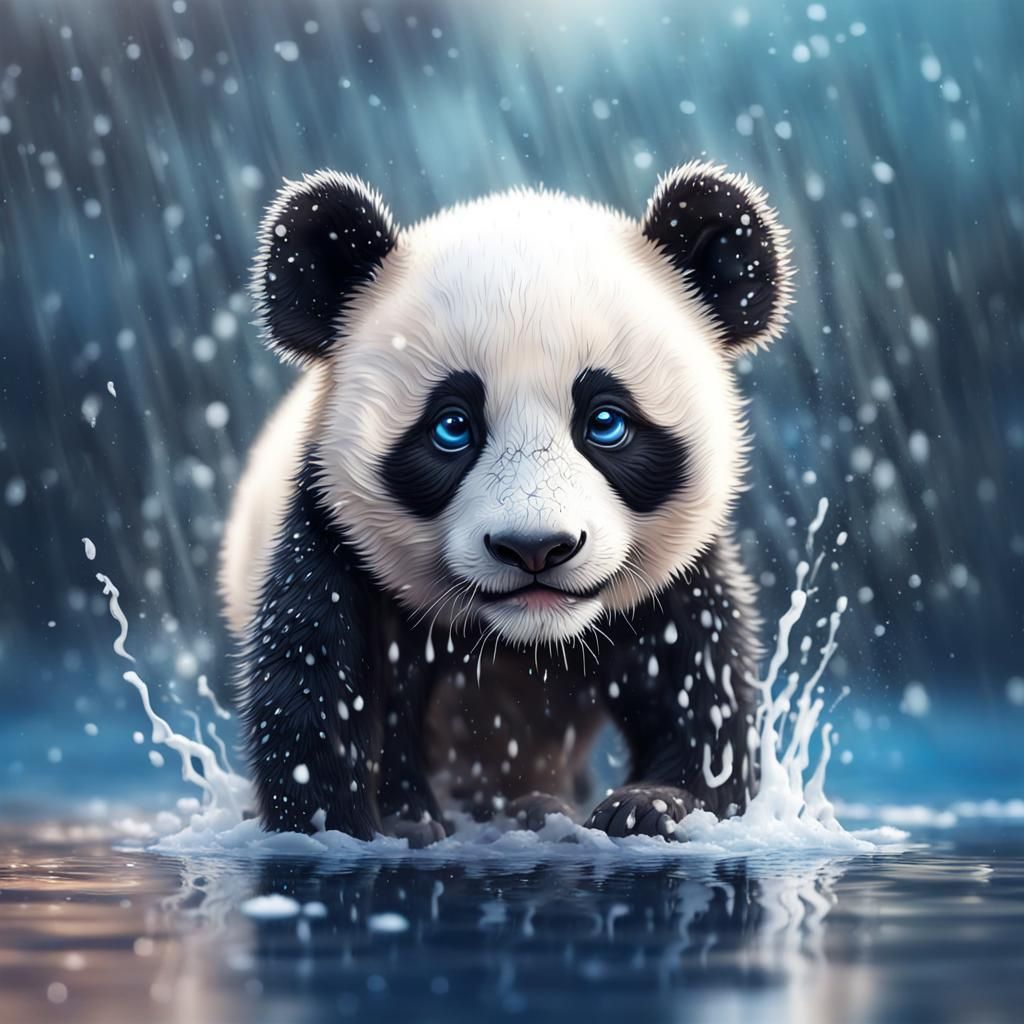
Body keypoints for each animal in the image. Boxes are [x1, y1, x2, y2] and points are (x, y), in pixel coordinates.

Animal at [220, 161, 794, 847]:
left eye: (606, 422)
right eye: (452, 427)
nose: (535, 547)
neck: (525, 640)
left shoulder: (678, 576)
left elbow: (705, 689)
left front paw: (649, 805)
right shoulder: (335, 534)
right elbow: (314, 682)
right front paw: (368, 823)